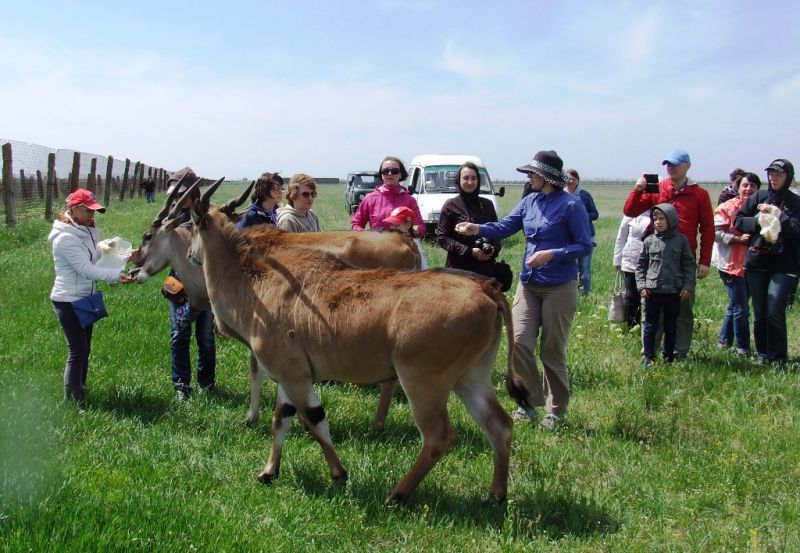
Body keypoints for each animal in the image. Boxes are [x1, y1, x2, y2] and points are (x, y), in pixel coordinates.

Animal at [126, 181, 418, 426]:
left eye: (148, 235)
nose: (134, 265)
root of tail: (406, 241)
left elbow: (256, 369)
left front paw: (252, 416)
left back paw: (377, 422)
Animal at [181, 179, 532, 502]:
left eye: (189, 225)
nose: (189, 254)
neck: (256, 283)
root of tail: (486, 289)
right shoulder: (290, 376)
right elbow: (281, 419)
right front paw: (269, 471)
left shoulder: (294, 376)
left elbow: (314, 421)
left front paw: (338, 474)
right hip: (471, 378)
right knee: (499, 425)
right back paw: (496, 495)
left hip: (423, 383)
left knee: (438, 437)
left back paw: (397, 495)